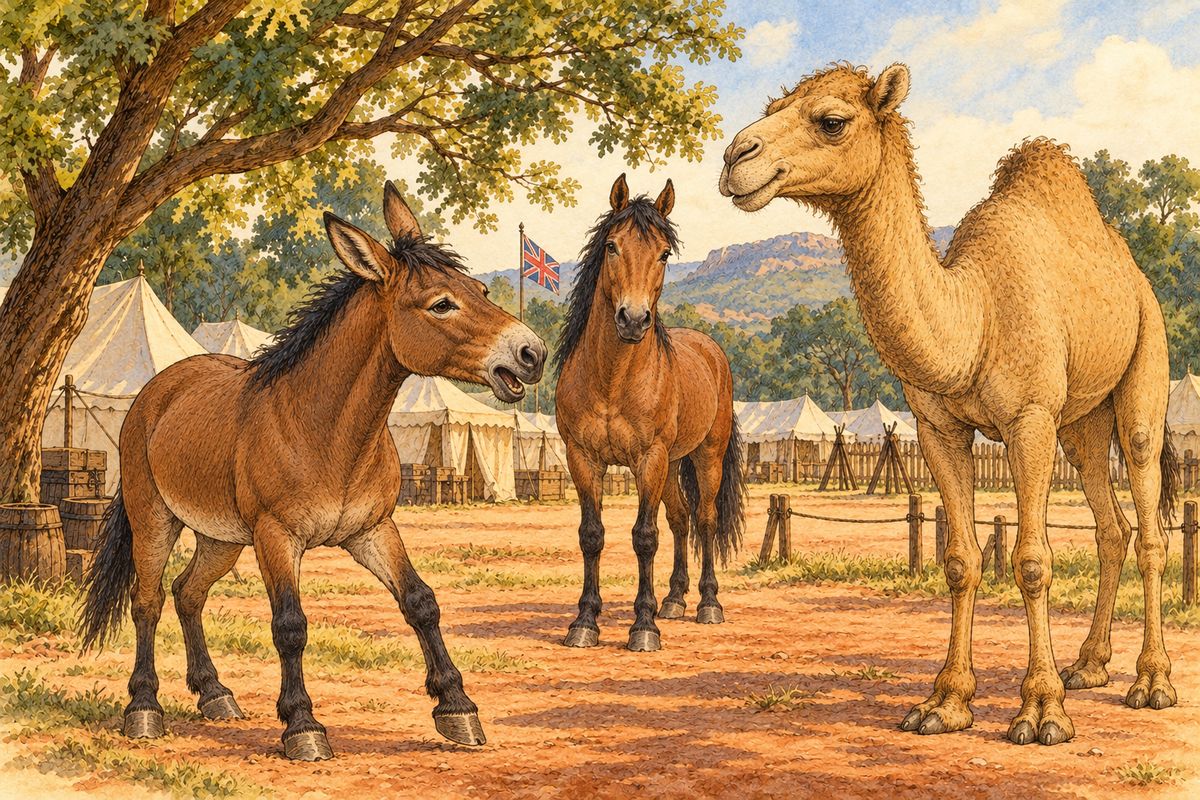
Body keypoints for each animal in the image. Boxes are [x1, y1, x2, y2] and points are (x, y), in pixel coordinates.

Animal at [79, 182, 546, 761]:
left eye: (479, 288)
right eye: (442, 303)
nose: (531, 353)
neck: (323, 429)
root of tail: (157, 390)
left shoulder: (373, 530)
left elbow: (420, 602)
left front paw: (457, 708)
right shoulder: (277, 537)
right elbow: (290, 625)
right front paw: (302, 725)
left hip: (221, 538)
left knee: (188, 593)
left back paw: (215, 694)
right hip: (155, 521)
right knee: (148, 601)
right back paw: (144, 708)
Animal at [554, 174, 746, 652]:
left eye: (663, 254)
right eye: (612, 246)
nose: (634, 319)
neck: (612, 380)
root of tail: (711, 350)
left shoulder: (649, 459)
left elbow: (644, 537)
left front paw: (643, 626)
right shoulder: (583, 459)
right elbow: (592, 535)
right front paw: (584, 622)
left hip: (704, 458)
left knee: (705, 520)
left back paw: (707, 604)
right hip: (674, 464)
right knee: (680, 520)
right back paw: (674, 600)